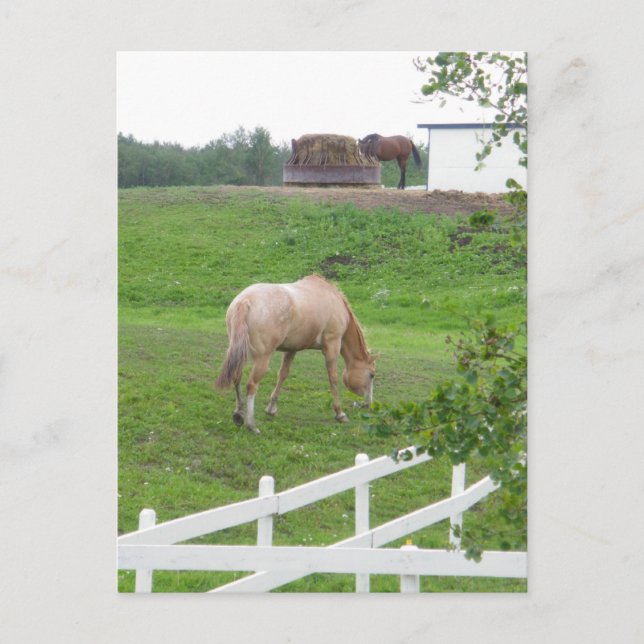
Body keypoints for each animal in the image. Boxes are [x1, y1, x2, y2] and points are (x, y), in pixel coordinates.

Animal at [215, 275, 376, 434]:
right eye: (371, 375)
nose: (368, 404)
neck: (332, 298)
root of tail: (245, 301)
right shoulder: (332, 345)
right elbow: (333, 378)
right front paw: (340, 413)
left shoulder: (292, 349)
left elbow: (282, 375)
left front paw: (271, 408)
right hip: (262, 359)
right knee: (251, 385)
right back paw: (251, 424)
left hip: (239, 353)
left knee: (236, 377)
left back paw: (239, 414)